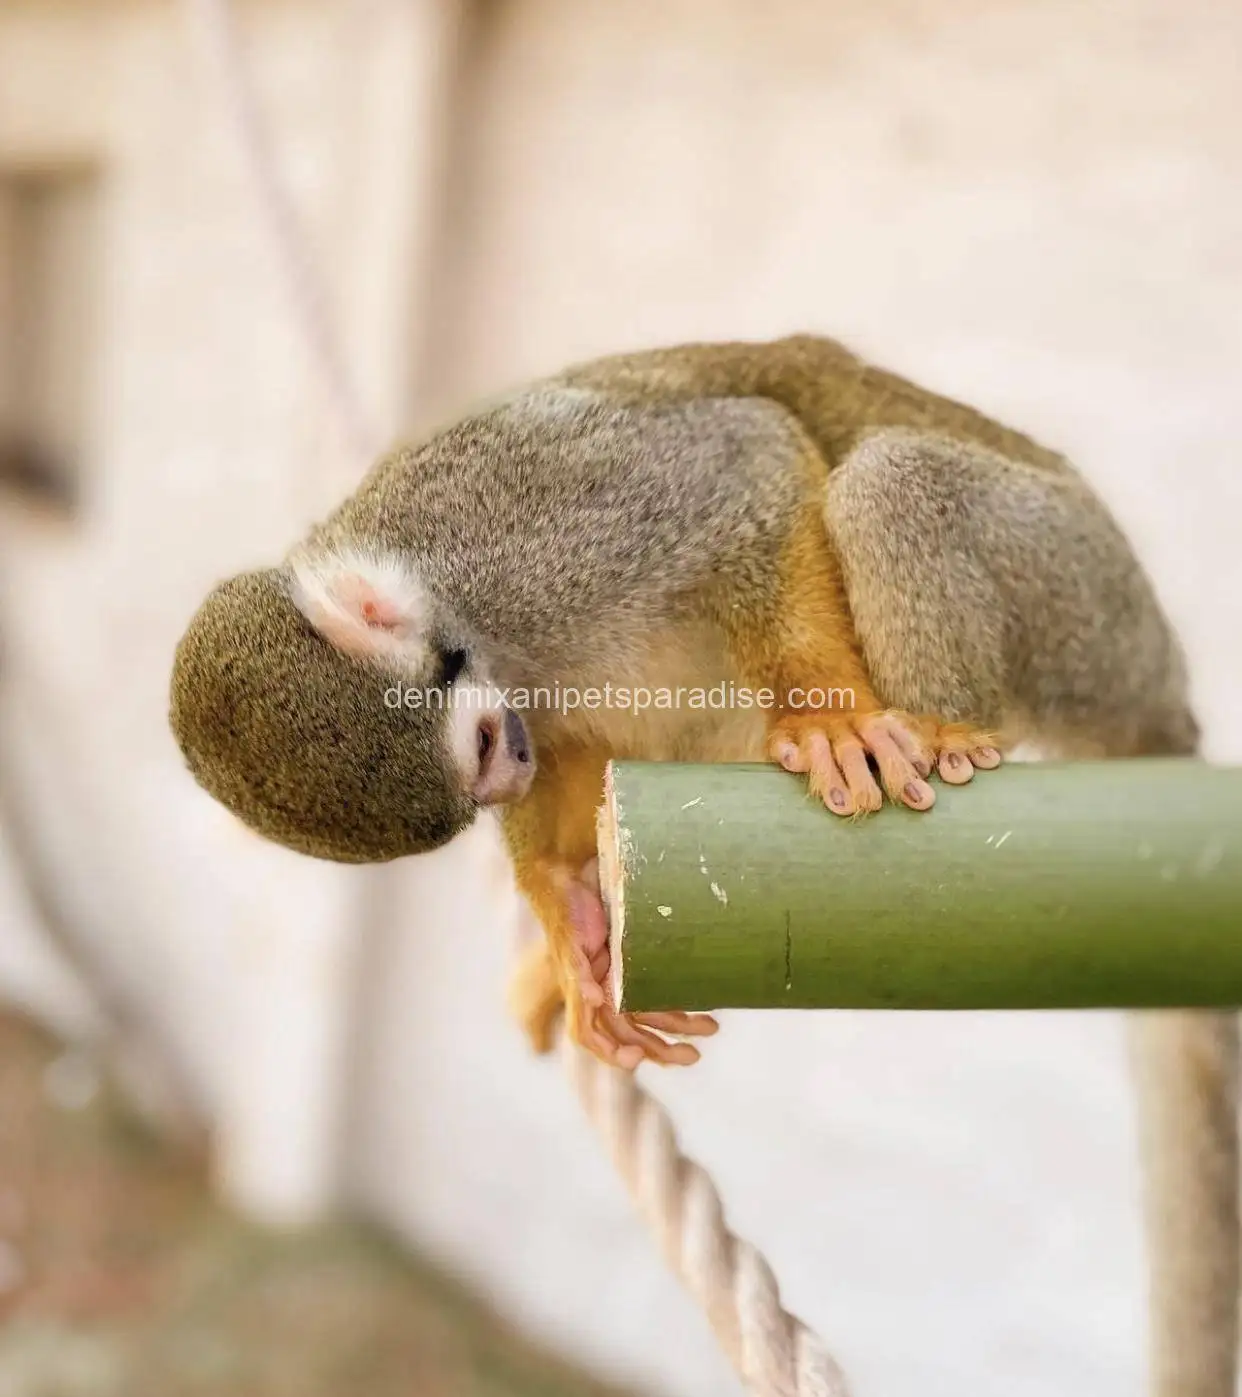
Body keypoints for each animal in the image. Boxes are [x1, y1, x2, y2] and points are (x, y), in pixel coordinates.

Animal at [168, 334, 1236, 1396]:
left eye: (478, 747)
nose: (508, 773)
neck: (450, 593)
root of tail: (1162, 690)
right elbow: (570, 745)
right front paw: (564, 918)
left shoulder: (534, 523)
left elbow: (743, 460)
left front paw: (824, 712)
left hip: (1086, 601)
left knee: (893, 481)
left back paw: (935, 730)